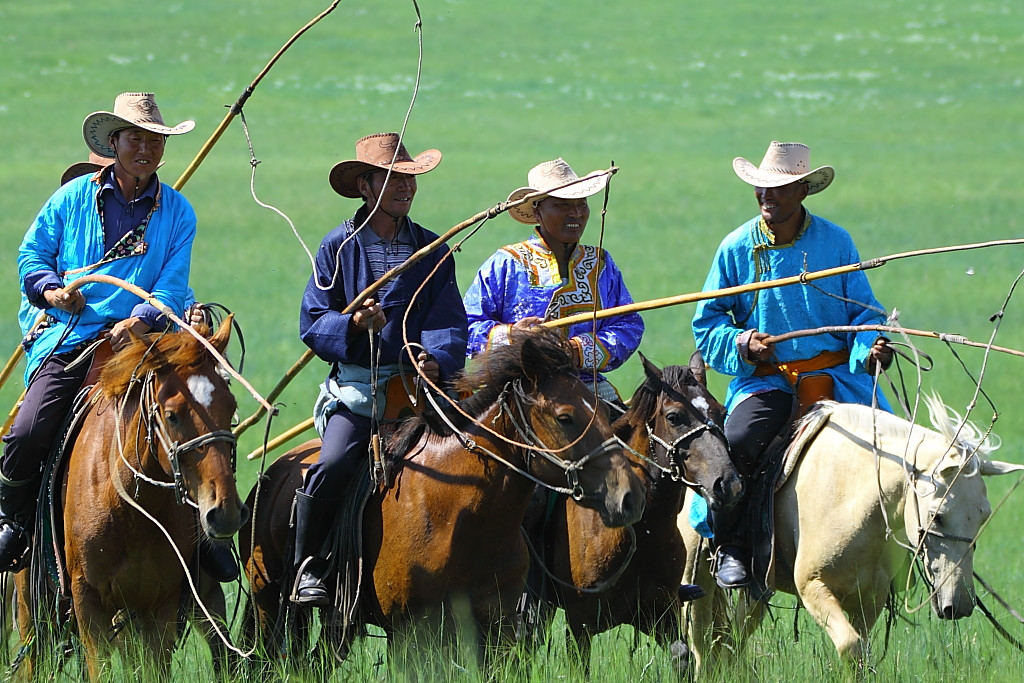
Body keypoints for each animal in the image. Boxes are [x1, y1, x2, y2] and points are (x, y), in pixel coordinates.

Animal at [17, 317, 248, 679]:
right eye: (172, 414)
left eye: (231, 406)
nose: (224, 512)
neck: (130, 509)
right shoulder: (87, 600)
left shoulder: (161, 604)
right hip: (34, 607)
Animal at [240, 327, 643, 671]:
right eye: (565, 416)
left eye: (603, 410)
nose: (629, 497)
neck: (459, 515)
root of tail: (276, 470)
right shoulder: (408, 633)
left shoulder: (496, 632)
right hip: (266, 599)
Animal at [524, 352, 741, 671]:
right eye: (674, 417)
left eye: (721, 412)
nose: (727, 483)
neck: (641, 529)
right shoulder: (580, 623)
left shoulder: (661, 613)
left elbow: (682, 657)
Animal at [679, 395, 1024, 671]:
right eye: (937, 517)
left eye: (983, 517)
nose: (960, 604)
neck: (849, 495)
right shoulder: (813, 588)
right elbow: (850, 646)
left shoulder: (869, 598)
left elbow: (861, 652)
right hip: (697, 579)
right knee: (702, 644)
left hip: (759, 588)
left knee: (731, 641)